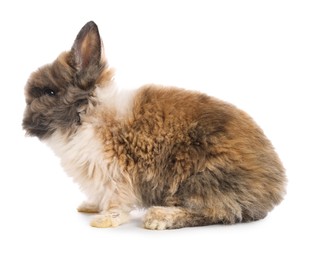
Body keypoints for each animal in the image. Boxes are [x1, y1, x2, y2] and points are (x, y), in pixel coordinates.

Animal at [21, 21, 286, 231]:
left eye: (49, 92)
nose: (25, 121)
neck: (88, 113)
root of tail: (275, 185)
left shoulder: (115, 171)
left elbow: (117, 202)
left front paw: (104, 220)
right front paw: (90, 207)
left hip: (202, 179)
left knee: (215, 212)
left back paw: (158, 218)